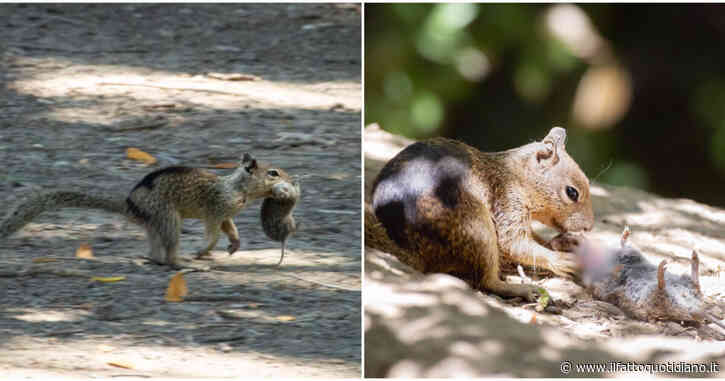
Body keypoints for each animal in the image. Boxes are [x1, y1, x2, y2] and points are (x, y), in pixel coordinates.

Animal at [1, 152, 294, 268]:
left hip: (156, 224)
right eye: (273, 173)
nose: (292, 181)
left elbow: (229, 228)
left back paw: (155, 259)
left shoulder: (226, 214)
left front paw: (234, 245)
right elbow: (212, 233)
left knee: (156, 252)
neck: (238, 188)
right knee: (170, 252)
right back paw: (184, 263)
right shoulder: (215, 209)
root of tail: (130, 205)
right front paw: (204, 250)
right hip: (169, 219)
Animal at [364, 127, 592, 300]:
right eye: (572, 192)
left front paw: (566, 243)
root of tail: (413, 250)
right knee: (486, 281)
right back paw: (520, 288)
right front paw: (563, 260)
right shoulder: (508, 202)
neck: (515, 175)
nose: (589, 227)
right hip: (478, 228)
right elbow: (515, 244)